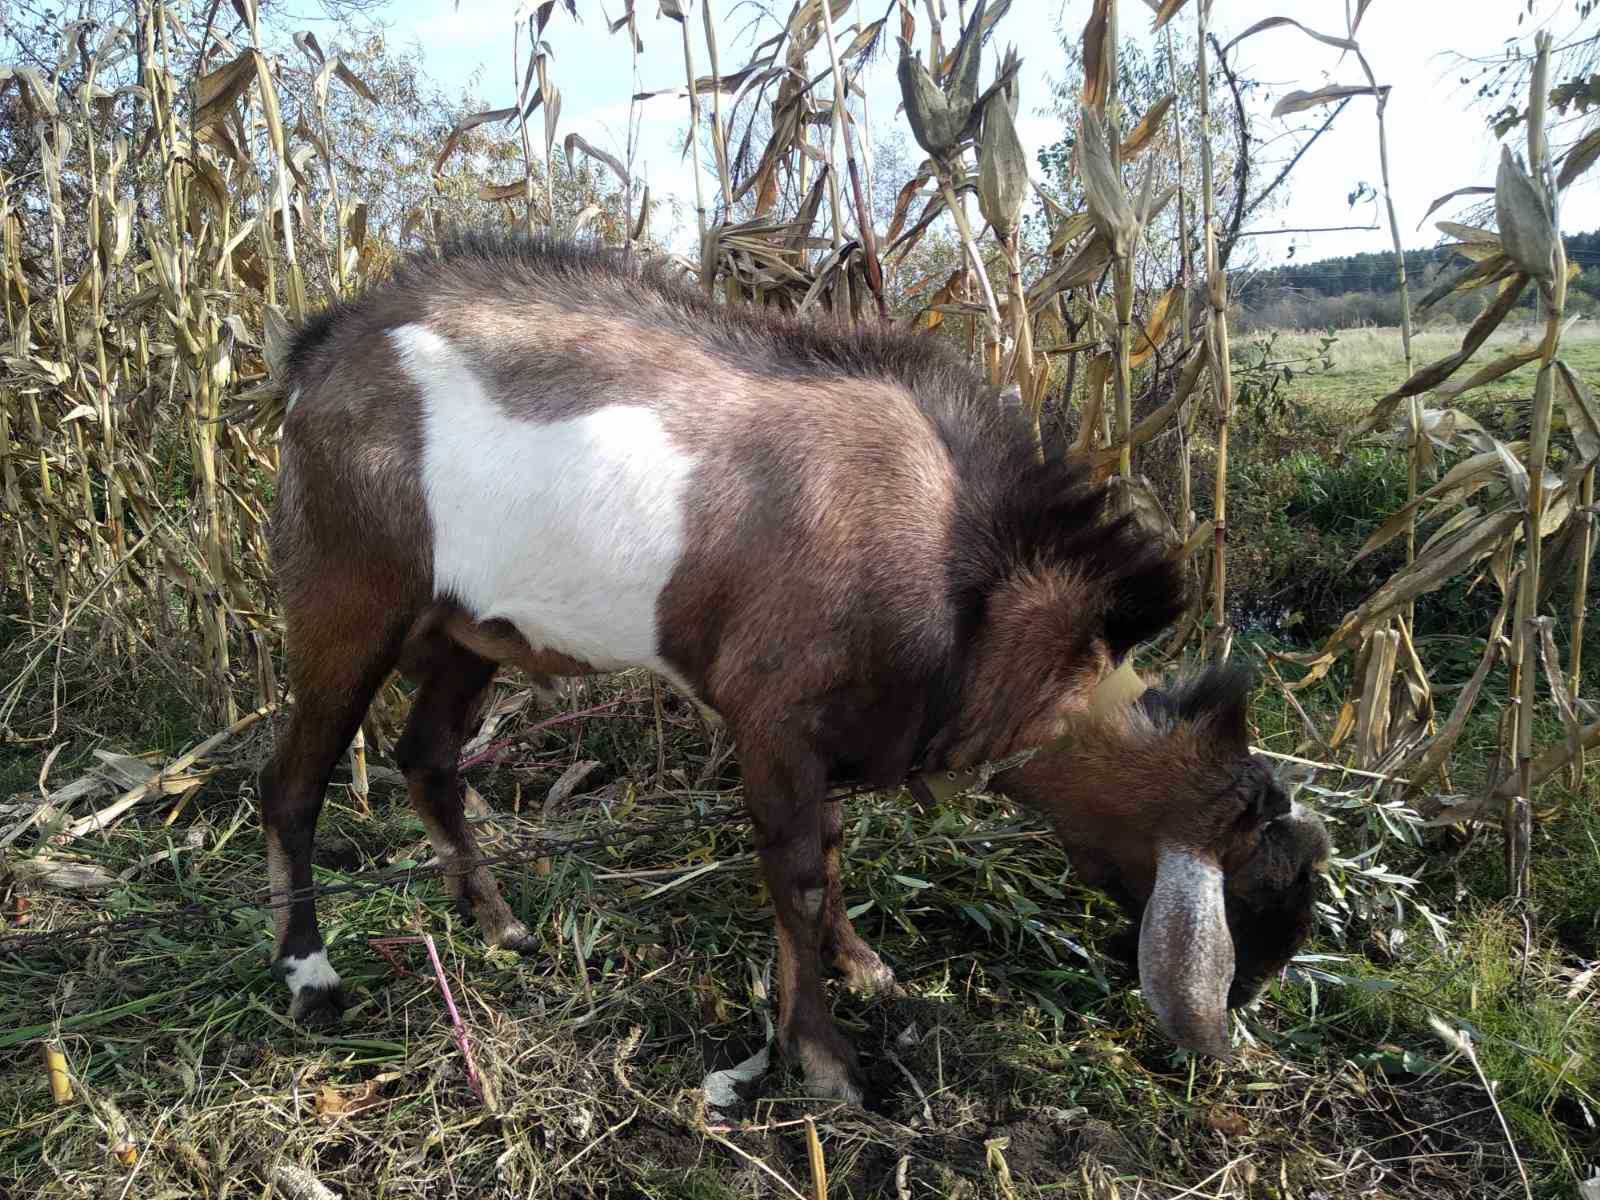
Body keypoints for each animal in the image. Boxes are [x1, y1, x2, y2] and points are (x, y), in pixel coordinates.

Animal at [262, 230, 1331, 1107]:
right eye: (1260, 889)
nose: (1249, 1008)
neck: (969, 575)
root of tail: (323, 348)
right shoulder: (771, 720)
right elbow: (798, 878)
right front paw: (823, 1060)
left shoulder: (840, 729)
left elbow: (834, 846)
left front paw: (861, 965)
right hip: (347, 597)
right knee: (293, 782)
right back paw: (309, 973)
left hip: (467, 630)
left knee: (428, 759)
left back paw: (496, 924)